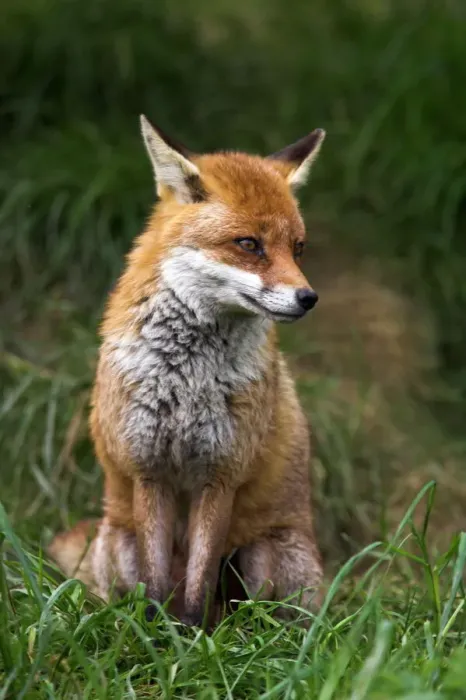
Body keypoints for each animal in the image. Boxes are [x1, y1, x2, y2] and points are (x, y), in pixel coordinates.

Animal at [49, 115, 326, 627]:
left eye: (297, 248)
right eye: (249, 244)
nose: (308, 298)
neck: (187, 379)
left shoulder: (221, 474)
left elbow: (199, 587)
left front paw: (194, 638)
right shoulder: (149, 471)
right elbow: (156, 584)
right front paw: (157, 636)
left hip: (262, 556)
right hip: (118, 541)